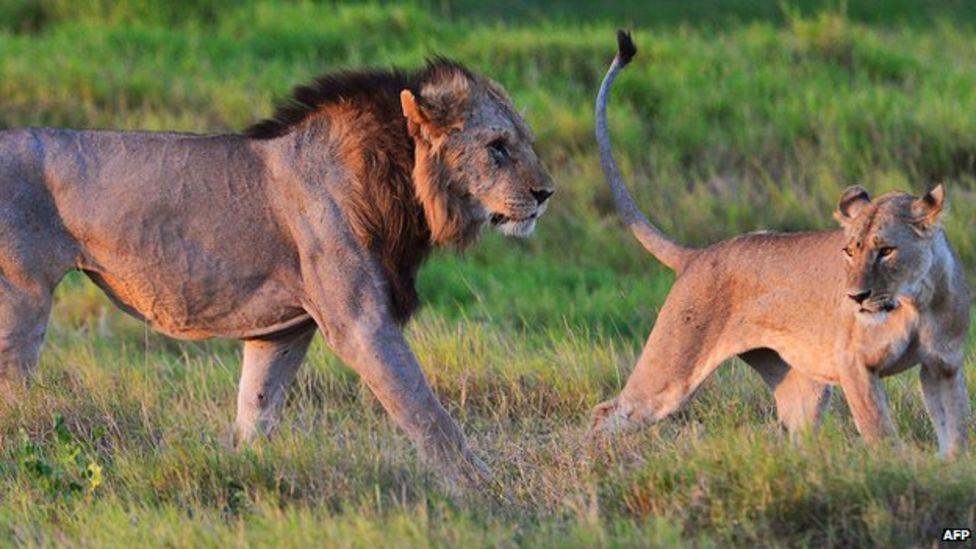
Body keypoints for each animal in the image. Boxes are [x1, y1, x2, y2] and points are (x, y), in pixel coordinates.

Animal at [0, 57, 548, 482]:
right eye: (497, 147)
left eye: (525, 141)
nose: (546, 193)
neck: (399, 184)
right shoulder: (360, 324)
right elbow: (426, 412)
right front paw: (488, 492)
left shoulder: (281, 332)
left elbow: (256, 411)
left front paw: (245, 476)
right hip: (22, 299)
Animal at [588, 32, 968, 456]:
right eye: (850, 250)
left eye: (886, 250)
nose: (855, 297)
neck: (915, 301)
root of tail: (696, 255)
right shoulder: (854, 364)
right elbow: (880, 432)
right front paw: (892, 466)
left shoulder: (943, 364)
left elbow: (956, 431)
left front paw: (949, 467)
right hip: (670, 373)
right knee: (606, 413)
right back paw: (593, 462)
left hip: (801, 385)